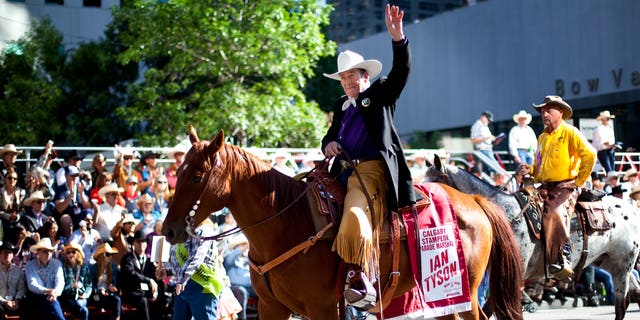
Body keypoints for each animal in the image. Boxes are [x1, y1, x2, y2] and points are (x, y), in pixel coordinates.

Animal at [162, 127, 524, 320]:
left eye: (197, 176)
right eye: (177, 172)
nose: (168, 230)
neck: (287, 222)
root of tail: (474, 200)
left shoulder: (322, 308)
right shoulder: (269, 306)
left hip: (466, 290)